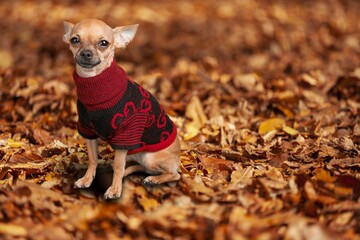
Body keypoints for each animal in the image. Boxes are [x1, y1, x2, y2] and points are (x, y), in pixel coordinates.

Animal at [62, 18, 180, 199]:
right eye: (75, 40)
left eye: (104, 43)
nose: (86, 53)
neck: (94, 85)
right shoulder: (88, 131)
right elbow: (93, 159)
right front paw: (87, 179)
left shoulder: (125, 137)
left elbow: (118, 166)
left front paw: (115, 190)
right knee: (142, 168)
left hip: (150, 157)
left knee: (174, 174)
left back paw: (154, 180)